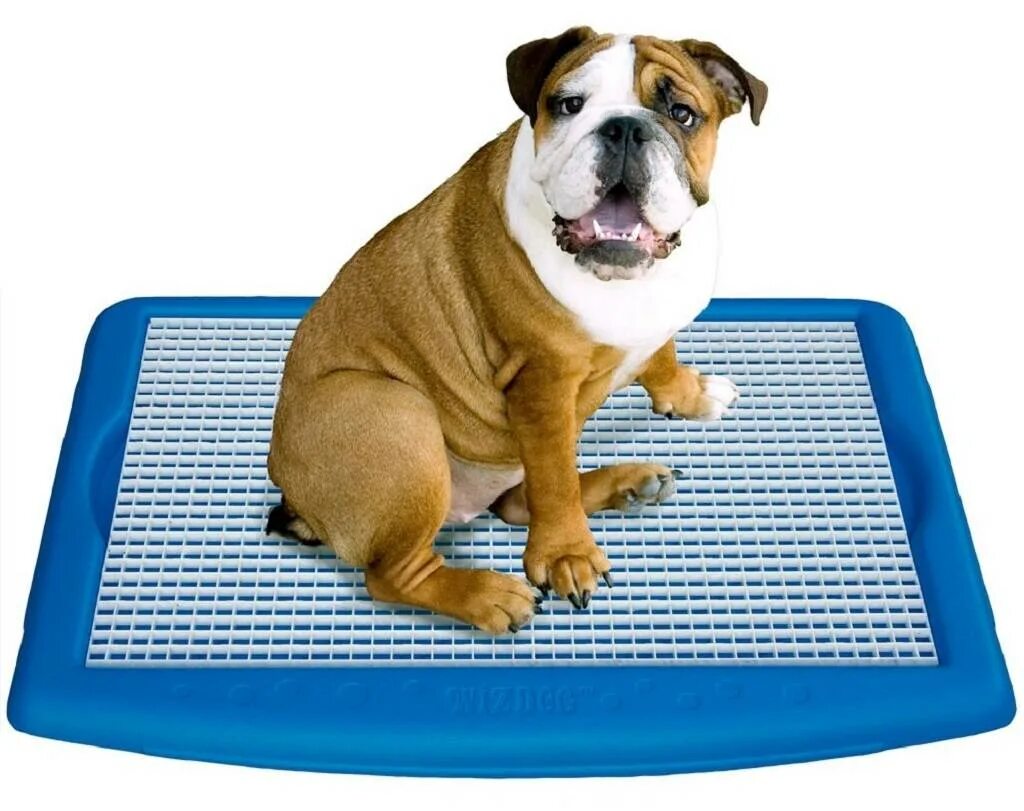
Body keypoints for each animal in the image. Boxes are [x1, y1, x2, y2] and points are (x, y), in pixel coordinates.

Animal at [267, 27, 766, 633]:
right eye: (569, 105)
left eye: (682, 113)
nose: (625, 127)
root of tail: (296, 498)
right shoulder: (541, 385)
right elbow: (553, 482)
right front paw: (567, 555)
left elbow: (659, 356)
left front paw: (688, 393)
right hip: (394, 413)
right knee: (396, 573)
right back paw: (486, 595)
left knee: (519, 502)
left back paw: (626, 483)